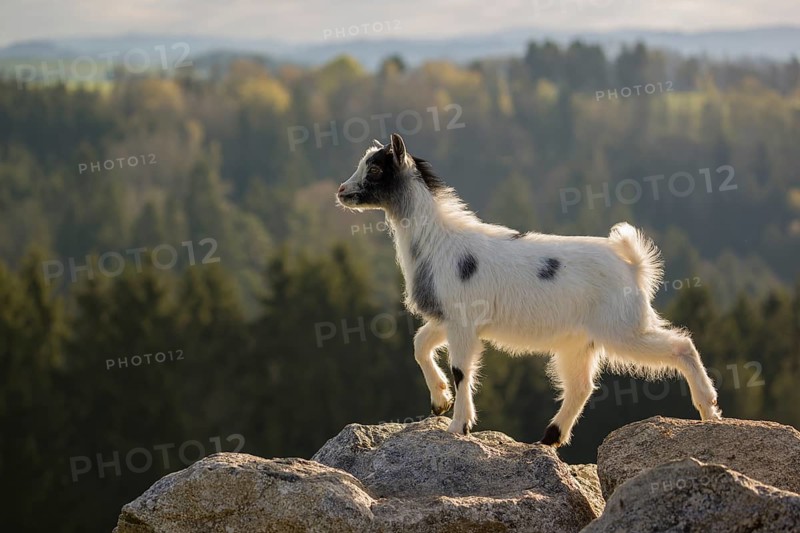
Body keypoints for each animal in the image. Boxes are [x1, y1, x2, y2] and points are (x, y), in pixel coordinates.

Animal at [336, 133, 721, 446]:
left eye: (375, 169)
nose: (341, 191)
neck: (437, 241)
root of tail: (633, 263)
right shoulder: (450, 318)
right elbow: (419, 344)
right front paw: (439, 402)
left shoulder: (462, 321)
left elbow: (461, 370)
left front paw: (458, 426)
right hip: (579, 341)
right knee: (581, 386)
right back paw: (549, 438)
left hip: (621, 328)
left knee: (681, 345)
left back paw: (709, 409)